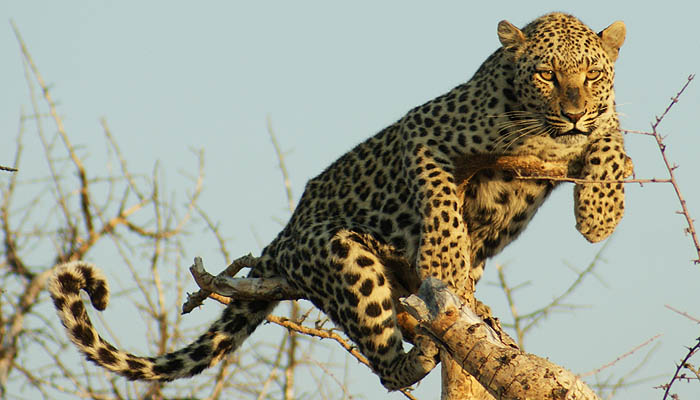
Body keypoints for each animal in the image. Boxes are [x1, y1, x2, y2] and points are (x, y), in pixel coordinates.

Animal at [49, 12, 628, 390]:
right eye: (546, 74)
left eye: (592, 75)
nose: (573, 112)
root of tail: (281, 239)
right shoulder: (422, 132)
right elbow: (441, 199)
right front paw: (443, 260)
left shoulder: (602, 126)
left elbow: (614, 145)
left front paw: (599, 216)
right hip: (341, 256)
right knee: (385, 364)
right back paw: (420, 349)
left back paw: (469, 309)